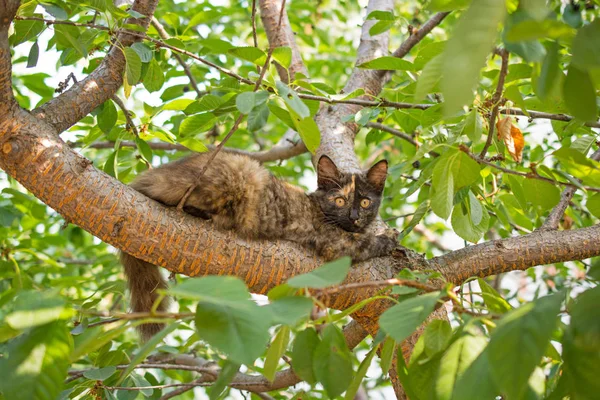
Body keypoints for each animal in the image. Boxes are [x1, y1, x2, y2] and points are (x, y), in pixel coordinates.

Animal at [120, 152, 398, 340]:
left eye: (365, 202)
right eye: (339, 200)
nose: (354, 217)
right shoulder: (336, 244)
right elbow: (366, 242)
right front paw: (392, 241)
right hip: (243, 172)